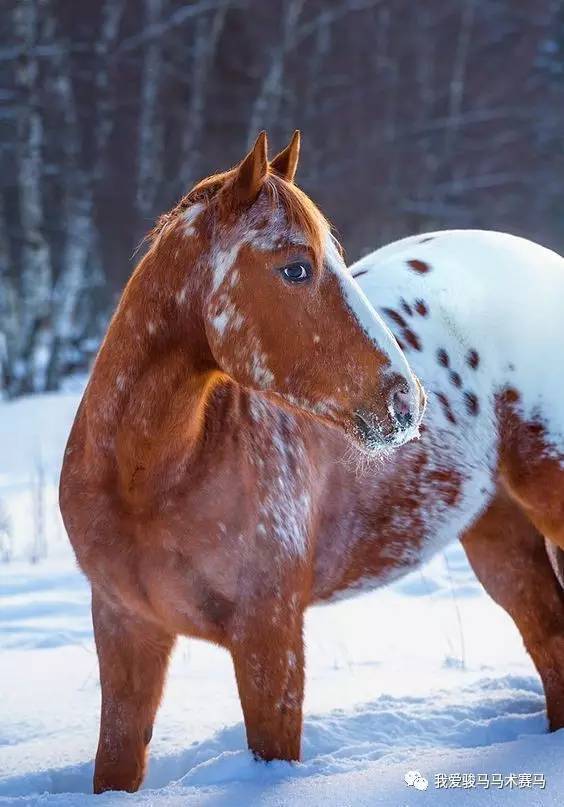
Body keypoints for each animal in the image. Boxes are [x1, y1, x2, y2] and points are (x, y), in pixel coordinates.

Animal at [59, 133, 426, 796]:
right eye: (296, 267)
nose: (406, 402)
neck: (150, 481)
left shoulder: (270, 638)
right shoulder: (124, 628)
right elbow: (116, 761)